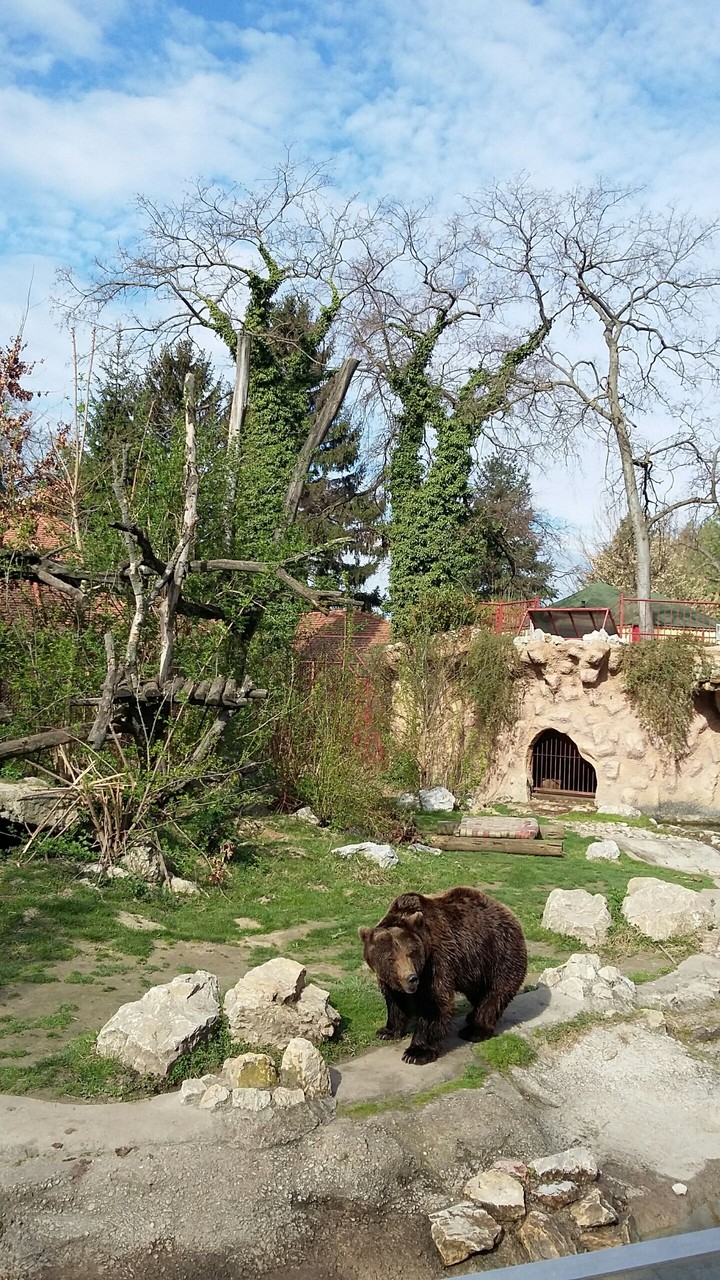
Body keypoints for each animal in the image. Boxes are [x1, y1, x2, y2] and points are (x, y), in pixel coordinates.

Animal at [358, 886, 527, 1065]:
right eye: (390, 958)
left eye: (411, 953)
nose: (411, 978)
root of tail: (509, 912)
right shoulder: (391, 979)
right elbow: (395, 999)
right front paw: (387, 1031)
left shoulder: (436, 961)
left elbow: (434, 1003)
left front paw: (416, 1052)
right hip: (474, 968)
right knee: (477, 992)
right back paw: (471, 1016)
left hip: (498, 953)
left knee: (494, 993)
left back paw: (475, 1030)